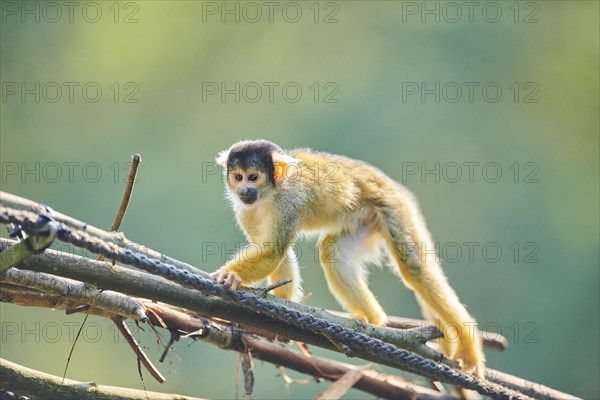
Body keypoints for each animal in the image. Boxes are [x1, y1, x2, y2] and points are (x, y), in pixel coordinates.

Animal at [211, 139, 488, 376]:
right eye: (238, 177)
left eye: (253, 177)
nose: (244, 190)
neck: (270, 194)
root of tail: (389, 184)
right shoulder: (244, 209)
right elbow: (274, 250)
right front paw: (280, 301)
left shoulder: (290, 202)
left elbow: (273, 251)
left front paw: (231, 275)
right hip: (363, 219)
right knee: (332, 250)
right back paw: (371, 321)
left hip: (394, 207)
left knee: (415, 269)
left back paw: (468, 348)